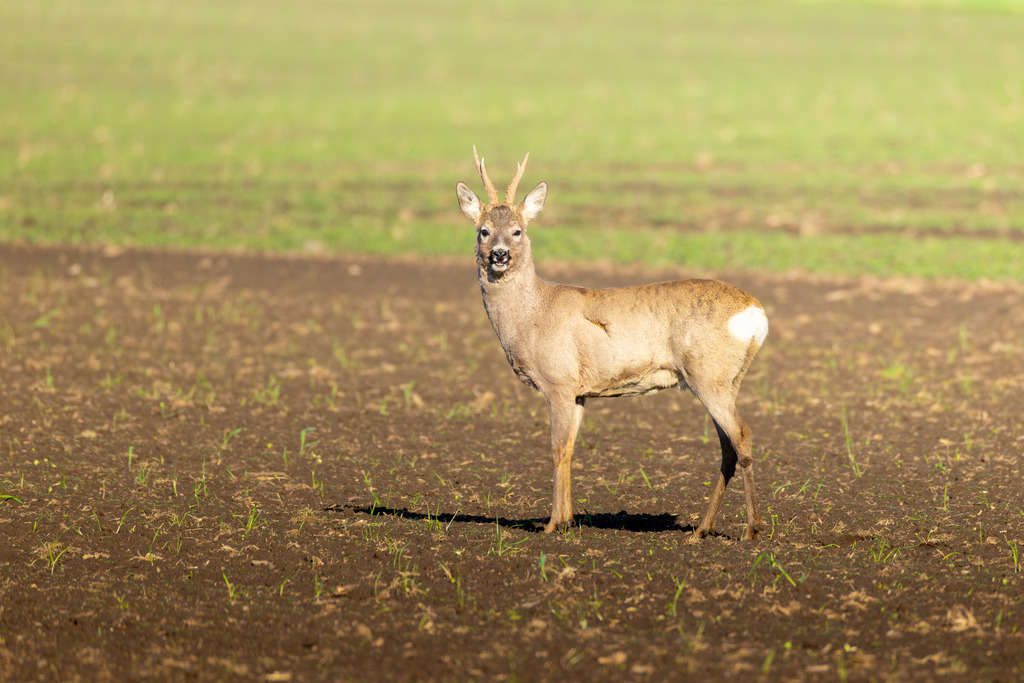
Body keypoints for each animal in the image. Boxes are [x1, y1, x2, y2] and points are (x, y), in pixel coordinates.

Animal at [455, 148, 769, 541]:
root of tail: (755, 311)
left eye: (518, 230)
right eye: (482, 231)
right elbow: (570, 450)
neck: (532, 314)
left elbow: (556, 449)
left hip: (709, 375)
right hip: (724, 379)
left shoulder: (558, 381)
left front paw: (551, 525)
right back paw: (702, 529)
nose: (499, 254)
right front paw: (569, 520)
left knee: (741, 436)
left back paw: (751, 530)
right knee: (727, 446)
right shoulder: (579, 392)